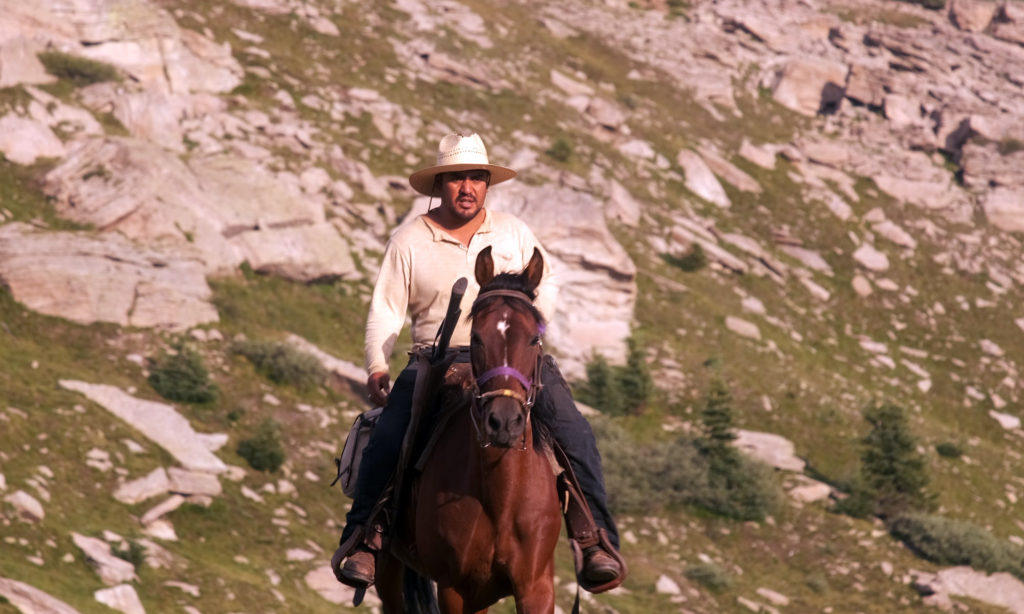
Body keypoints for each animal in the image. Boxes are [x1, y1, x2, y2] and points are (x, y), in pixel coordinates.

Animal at [378, 245, 561, 614]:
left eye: (534, 337)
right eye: (476, 337)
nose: (503, 422)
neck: (502, 498)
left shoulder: (536, 587)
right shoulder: (457, 589)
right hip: (389, 570)